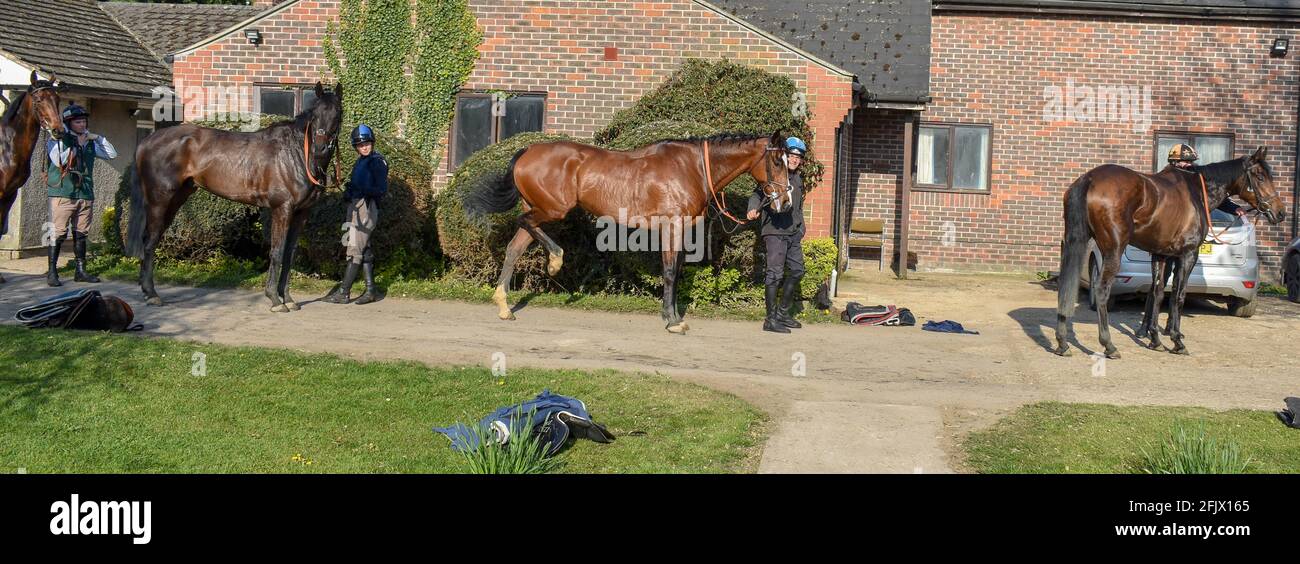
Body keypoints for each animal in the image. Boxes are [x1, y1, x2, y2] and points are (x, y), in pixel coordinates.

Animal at [125, 82, 343, 311]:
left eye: (337, 113)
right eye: (315, 114)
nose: (320, 148)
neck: (296, 153)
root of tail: (147, 141)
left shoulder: (301, 213)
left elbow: (289, 254)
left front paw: (288, 298)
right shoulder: (282, 209)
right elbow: (277, 251)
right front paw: (275, 300)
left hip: (176, 200)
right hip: (160, 201)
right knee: (149, 242)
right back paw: (151, 294)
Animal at [463, 132, 795, 333]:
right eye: (776, 160)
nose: (786, 200)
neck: (693, 168)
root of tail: (528, 151)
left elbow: (674, 271)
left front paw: (672, 316)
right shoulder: (672, 227)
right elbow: (670, 272)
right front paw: (673, 321)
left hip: (541, 208)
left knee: (514, 248)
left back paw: (504, 306)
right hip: (552, 209)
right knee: (524, 222)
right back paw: (555, 260)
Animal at [1054, 146, 1285, 358]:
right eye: (1260, 176)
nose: (1280, 212)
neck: (1197, 193)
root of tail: (1090, 178)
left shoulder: (1161, 254)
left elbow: (1157, 293)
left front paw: (1155, 339)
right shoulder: (1188, 255)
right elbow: (1178, 295)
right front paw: (1176, 341)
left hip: (1075, 242)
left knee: (1066, 284)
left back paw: (1062, 342)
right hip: (1112, 252)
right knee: (1102, 291)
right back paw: (1109, 345)